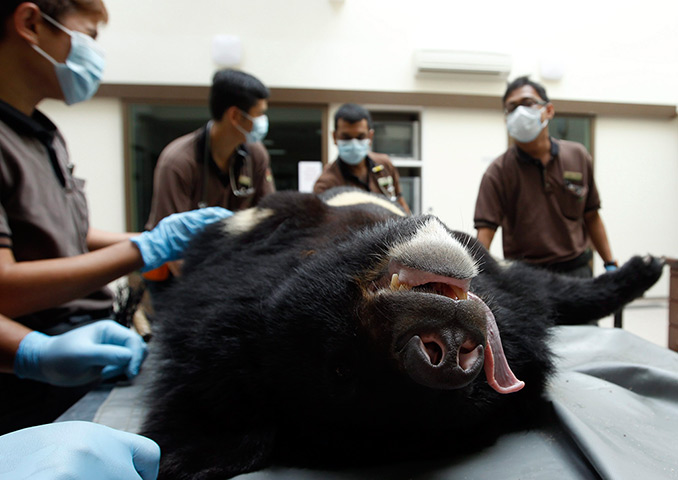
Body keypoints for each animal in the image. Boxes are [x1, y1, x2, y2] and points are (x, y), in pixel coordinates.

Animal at [141, 188, 664, 480]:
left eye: (474, 393)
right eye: (341, 369)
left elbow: (541, 287)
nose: (443, 353)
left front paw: (643, 268)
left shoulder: (500, 278)